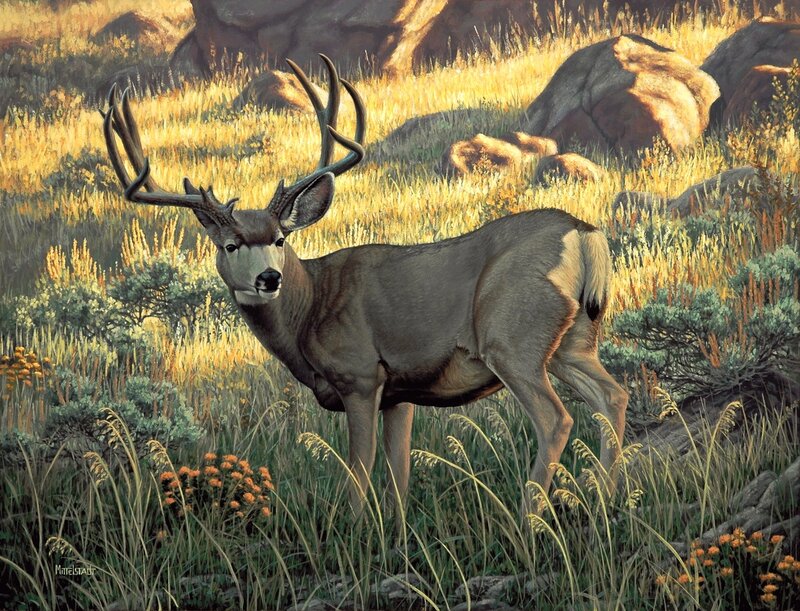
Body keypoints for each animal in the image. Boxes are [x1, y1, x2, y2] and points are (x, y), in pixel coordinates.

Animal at [101, 54, 628, 520]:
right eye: (231, 244)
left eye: (279, 239)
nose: (268, 278)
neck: (311, 308)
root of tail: (585, 234)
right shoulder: (400, 392)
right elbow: (398, 474)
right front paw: (395, 533)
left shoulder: (361, 375)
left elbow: (359, 469)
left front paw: (355, 530)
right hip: (572, 339)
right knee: (613, 396)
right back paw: (605, 501)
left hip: (513, 335)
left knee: (557, 419)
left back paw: (528, 520)